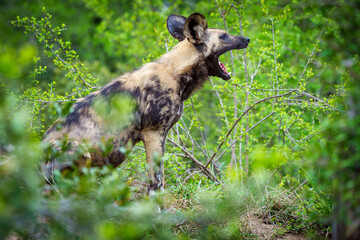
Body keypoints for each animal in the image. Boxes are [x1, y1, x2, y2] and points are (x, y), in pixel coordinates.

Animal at [43, 12, 249, 193]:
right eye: (223, 36)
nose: (247, 39)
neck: (175, 73)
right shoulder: (153, 134)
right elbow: (156, 182)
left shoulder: (161, 135)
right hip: (79, 153)